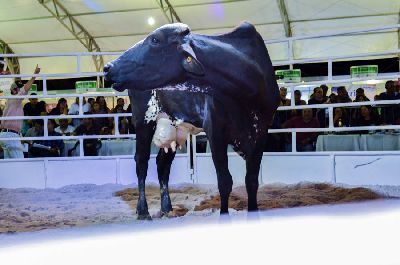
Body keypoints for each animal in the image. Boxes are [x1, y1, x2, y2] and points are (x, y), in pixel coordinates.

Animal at [104, 21, 280, 218]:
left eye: (155, 39)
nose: (108, 67)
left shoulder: (261, 134)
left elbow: (251, 181)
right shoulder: (215, 131)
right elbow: (225, 181)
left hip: (172, 125)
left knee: (162, 164)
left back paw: (167, 208)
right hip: (143, 120)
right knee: (141, 161)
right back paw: (143, 211)